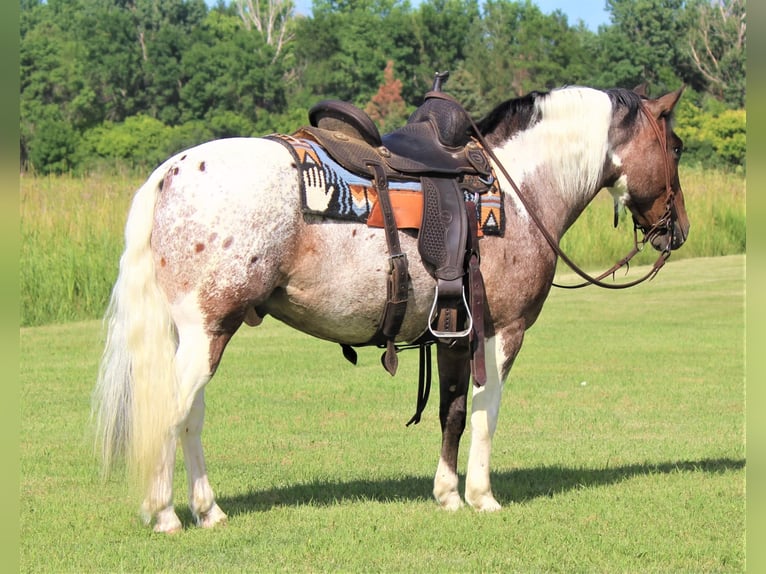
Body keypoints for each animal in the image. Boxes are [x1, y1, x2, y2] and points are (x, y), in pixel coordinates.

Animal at [91, 84, 688, 536]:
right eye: (677, 147)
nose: (678, 230)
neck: (518, 192)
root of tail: (172, 170)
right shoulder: (501, 331)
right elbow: (485, 410)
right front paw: (481, 496)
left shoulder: (452, 331)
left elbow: (451, 412)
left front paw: (447, 494)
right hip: (207, 329)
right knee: (172, 412)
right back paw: (165, 513)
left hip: (199, 334)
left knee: (190, 415)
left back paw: (208, 510)